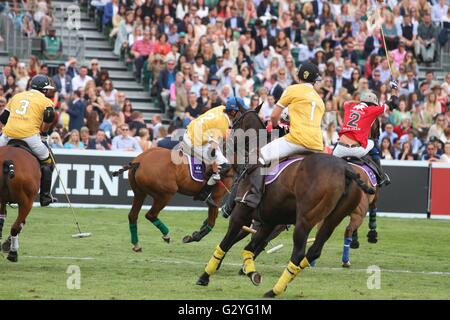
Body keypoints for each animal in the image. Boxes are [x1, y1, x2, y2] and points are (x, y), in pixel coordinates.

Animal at [195, 107, 374, 298]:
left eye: (233, 124)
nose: (218, 151)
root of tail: (346, 169)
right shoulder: (268, 221)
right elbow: (249, 248)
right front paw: (252, 273)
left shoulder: (241, 214)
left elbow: (225, 244)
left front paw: (204, 276)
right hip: (333, 219)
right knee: (313, 251)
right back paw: (279, 285)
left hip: (305, 219)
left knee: (298, 253)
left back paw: (274, 290)